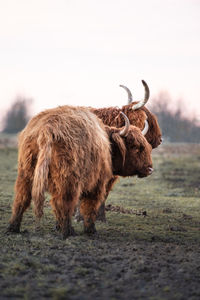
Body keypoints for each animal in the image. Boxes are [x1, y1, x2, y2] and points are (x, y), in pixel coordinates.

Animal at [7, 105, 152, 239]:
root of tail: (47, 128)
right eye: (135, 147)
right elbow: (89, 206)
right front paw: (90, 229)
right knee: (63, 202)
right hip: (68, 180)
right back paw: (68, 231)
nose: (150, 169)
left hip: (26, 174)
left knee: (21, 199)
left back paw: (13, 228)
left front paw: (58, 226)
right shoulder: (97, 183)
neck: (107, 144)